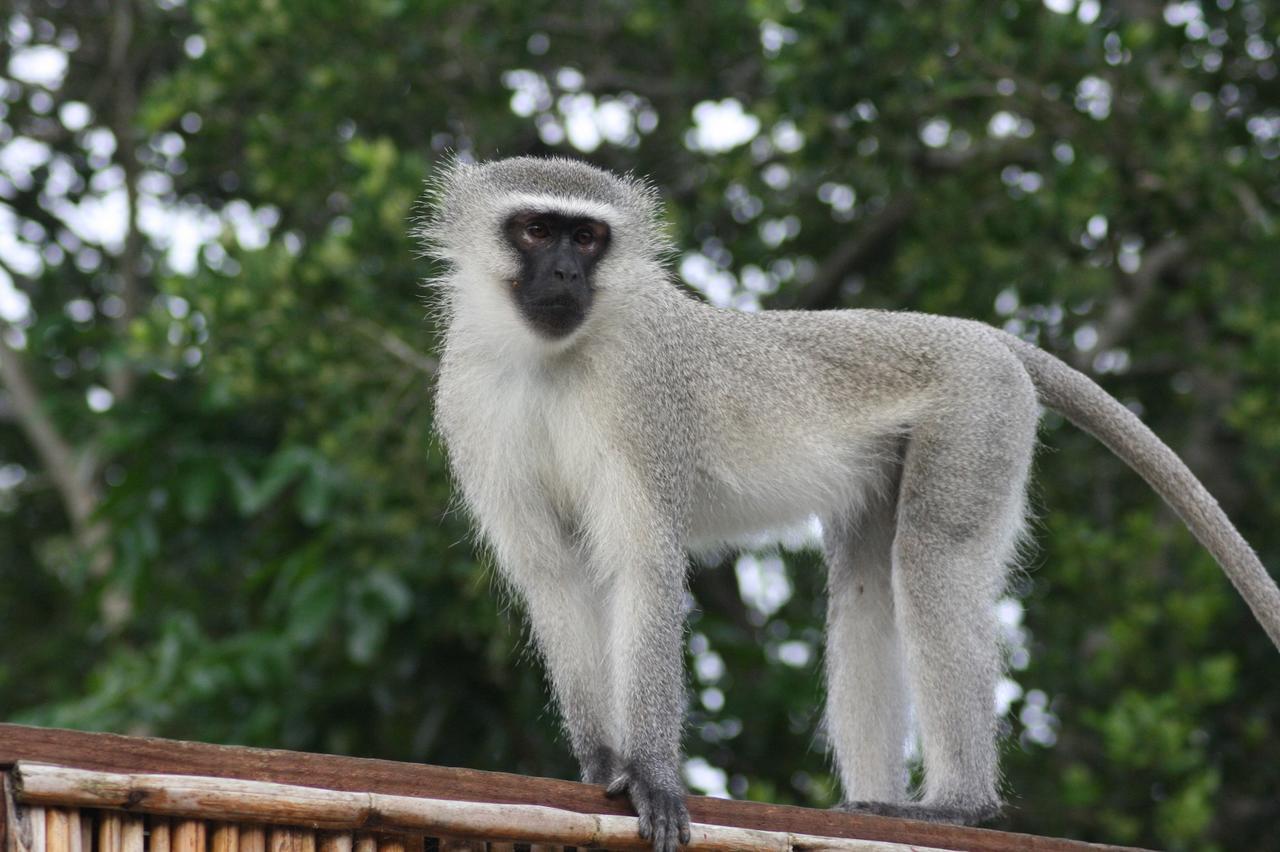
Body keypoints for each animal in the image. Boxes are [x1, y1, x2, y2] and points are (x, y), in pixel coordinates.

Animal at [422, 156, 1280, 844]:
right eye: (537, 230)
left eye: (588, 239)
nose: (567, 276)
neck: (550, 358)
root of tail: (972, 333)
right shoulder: (469, 399)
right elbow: (553, 574)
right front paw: (604, 762)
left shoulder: (641, 400)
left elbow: (642, 565)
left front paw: (655, 775)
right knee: (867, 586)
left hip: (979, 414)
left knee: (931, 561)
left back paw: (958, 805)